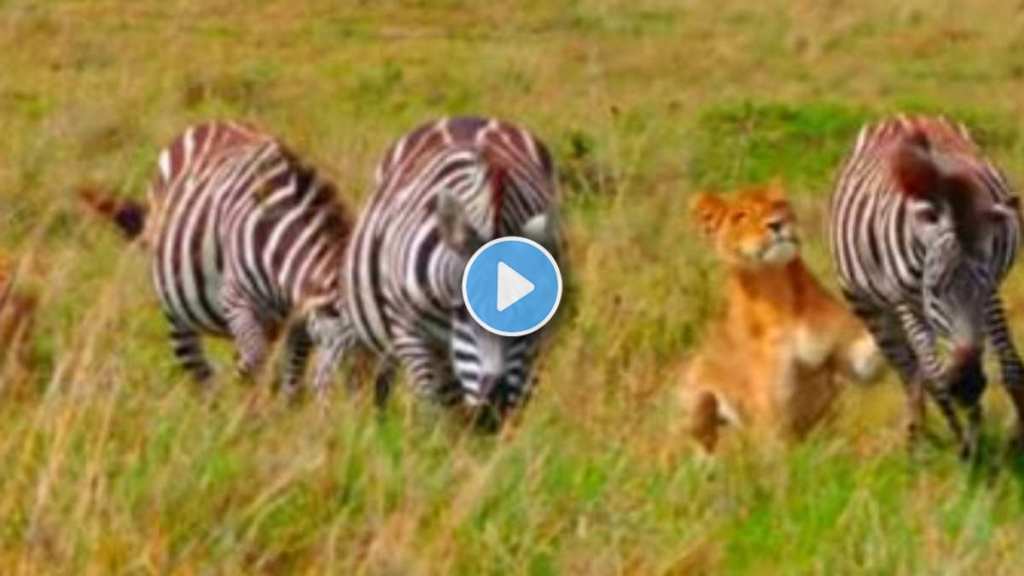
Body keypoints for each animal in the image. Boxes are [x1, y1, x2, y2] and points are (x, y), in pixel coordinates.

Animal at [80, 120, 354, 397]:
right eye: (354, 361)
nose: (358, 406)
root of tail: (211, 123)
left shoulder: (298, 318)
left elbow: (292, 376)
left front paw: (281, 402)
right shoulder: (236, 299)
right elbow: (256, 357)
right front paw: (243, 386)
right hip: (177, 309)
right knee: (196, 367)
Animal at [343, 116, 561, 425]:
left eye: (525, 316)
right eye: (462, 311)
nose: (492, 410)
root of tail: (468, 118)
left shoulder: (535, 344)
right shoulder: (408, 331)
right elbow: (432, 403)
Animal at [680, 183, 882, 453]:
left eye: (779, 204)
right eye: (740, 216)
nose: (776, 223)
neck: (778, 286)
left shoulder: (856, 361)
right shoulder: (771, 404)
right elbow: (778, 450)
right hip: (696, 394)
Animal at [829, 115, 1024, 457]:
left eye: (984, 286)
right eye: (933, 289)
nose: (968, 385)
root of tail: (901, 116)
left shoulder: (991, 293)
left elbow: (1012, 363)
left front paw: (1010, 439)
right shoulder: (906, 301)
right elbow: (934, 377)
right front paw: (966, 446)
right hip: (869, 306)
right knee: (909, 371)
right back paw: (916, 438)